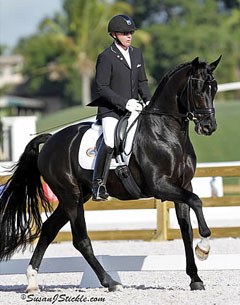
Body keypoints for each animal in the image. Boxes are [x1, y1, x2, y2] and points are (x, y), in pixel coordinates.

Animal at [0, 55, 221, 290]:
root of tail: (51, 140)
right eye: (197, 89)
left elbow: (186, 230)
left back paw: (32, 282)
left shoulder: (182, 186)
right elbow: (196, 200)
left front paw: (195, 278)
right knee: (80, 240)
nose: (208, 127)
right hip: (71, 197)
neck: (166, 133)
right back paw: (110, 282)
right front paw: (204, 247)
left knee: (49, 229)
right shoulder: (160, 186)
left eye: (214, 88)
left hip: (76, 196)